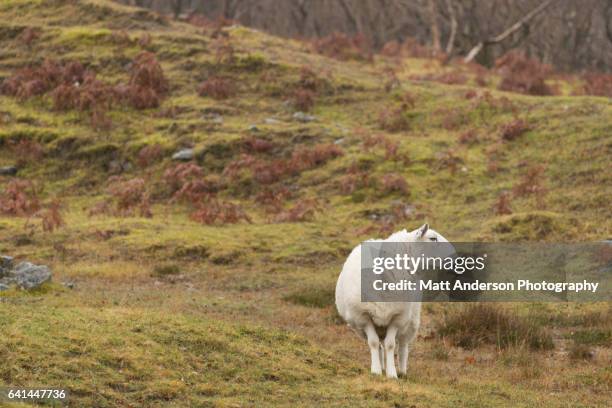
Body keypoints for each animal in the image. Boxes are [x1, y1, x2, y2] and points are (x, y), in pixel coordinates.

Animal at [332, 225, 452, 378]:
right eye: (432, 238)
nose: (455, 255)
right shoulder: (364, 317)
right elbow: (373, 343)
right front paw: (376, 371)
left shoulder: (398, 317)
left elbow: (390, 345)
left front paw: (392, 374)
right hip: (360, 327)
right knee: (379, 345)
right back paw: (381, 367)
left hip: (411, 321)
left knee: (403, 345)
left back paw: (402, 371)